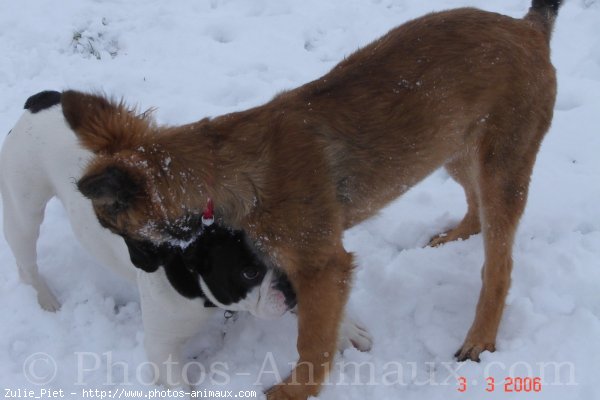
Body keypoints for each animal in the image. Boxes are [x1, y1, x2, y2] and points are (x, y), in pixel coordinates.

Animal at [62, 1, 564, 398]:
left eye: (118, 231)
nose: (139, 269)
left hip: (501, 165)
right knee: (475, 208)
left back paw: (480, 337)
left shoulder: (324, 267)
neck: (219, 170)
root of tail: (528, 27)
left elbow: (312, 343)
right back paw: (454, 236)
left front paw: (293, 392)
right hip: (454, 147)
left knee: (498, 267)